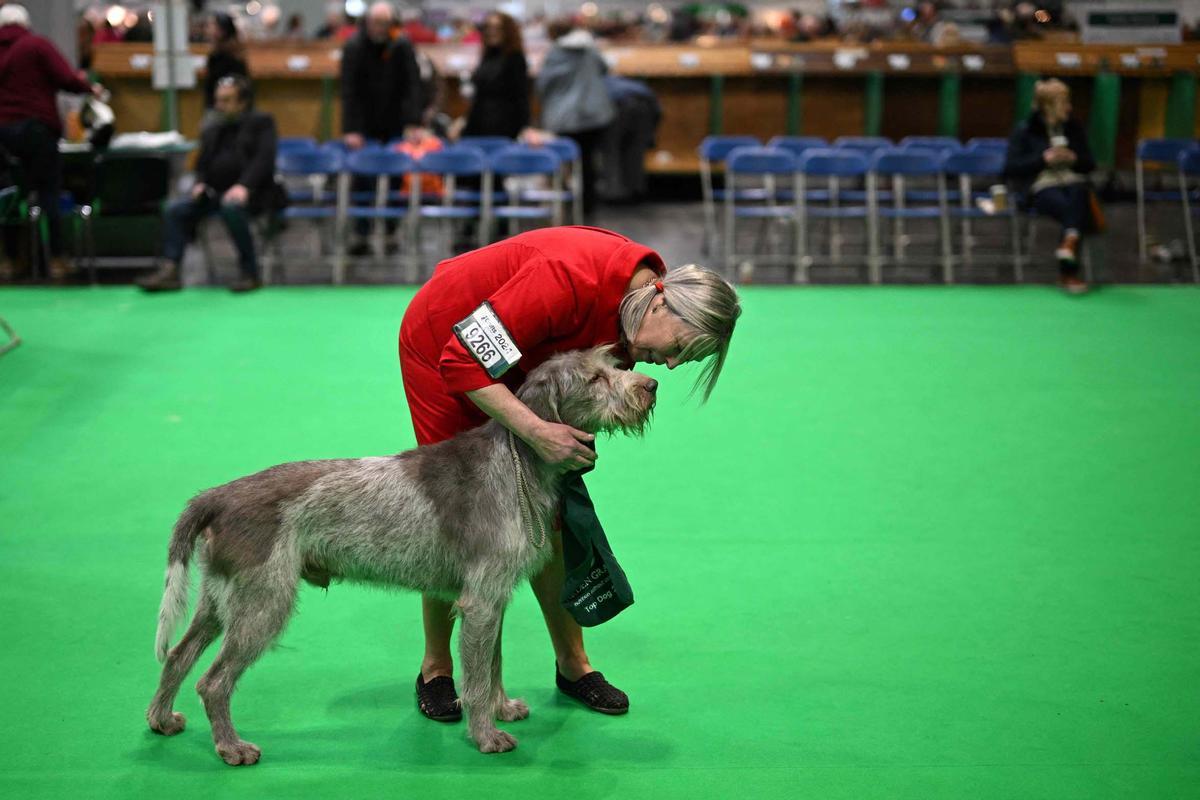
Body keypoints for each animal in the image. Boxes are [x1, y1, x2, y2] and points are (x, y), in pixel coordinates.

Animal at [145, 347, 662, 767]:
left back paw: (162, 718)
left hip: (220, 600)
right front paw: (486, 735)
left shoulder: (492, 599)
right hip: (262, 604)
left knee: (177, 656)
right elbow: (476, 677)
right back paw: (231, 747)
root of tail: (217, 496)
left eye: (613, 366)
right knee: (213, 682)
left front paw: (502, 709)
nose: (650, 386)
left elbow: (492, 663)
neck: (517, 458)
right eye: (594, 379)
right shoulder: (481, 602)